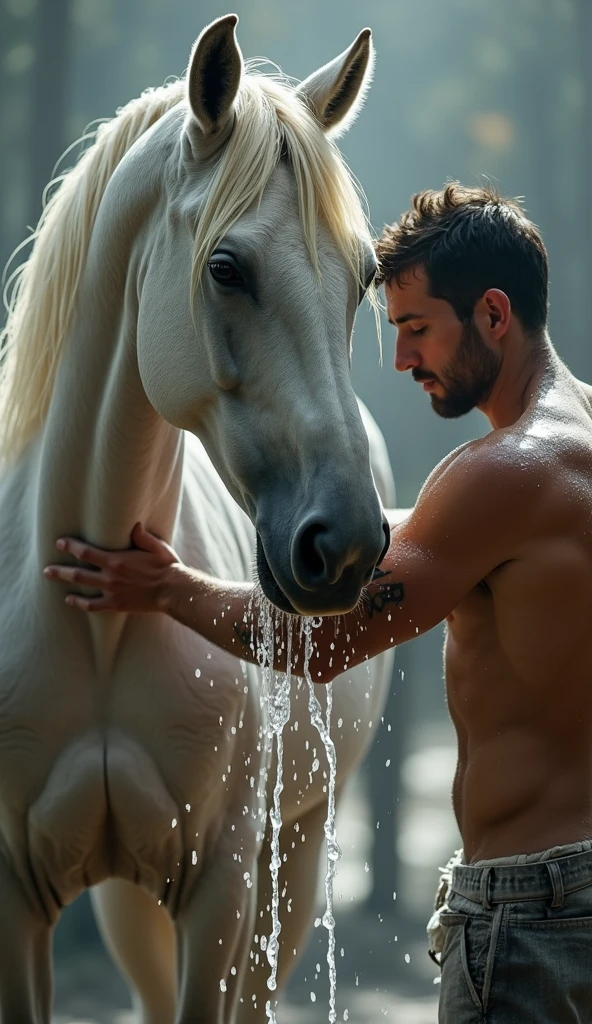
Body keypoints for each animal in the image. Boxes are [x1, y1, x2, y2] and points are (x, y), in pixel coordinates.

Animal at [1, 16, 397, 1024]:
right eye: (226, 267)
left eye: (367, 275)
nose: (346, 546)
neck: (94, 624)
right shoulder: (14, 896)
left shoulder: (221, 889)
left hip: (292, 863)